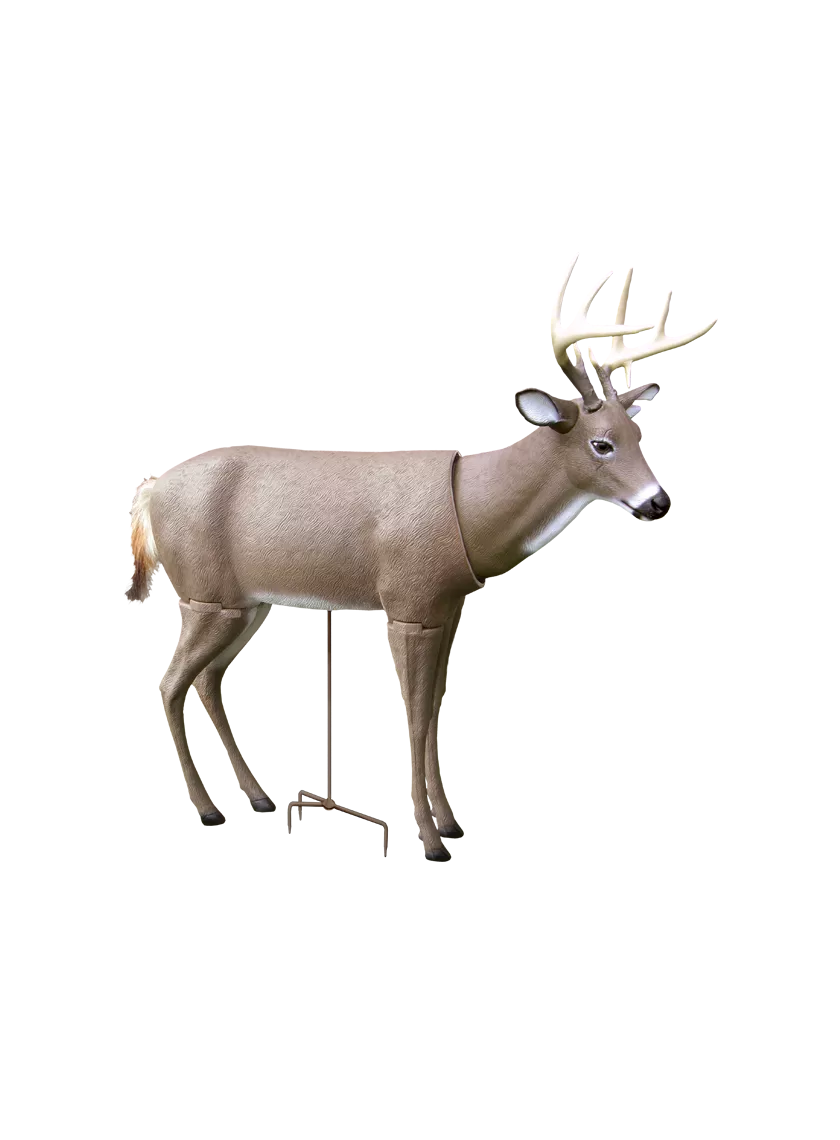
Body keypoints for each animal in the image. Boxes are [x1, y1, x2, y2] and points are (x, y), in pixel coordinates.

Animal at [124, 341, 670, 860]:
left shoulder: (444, 611)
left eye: (640, 437)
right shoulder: (407, 605)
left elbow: (433, 713)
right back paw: (209, 809)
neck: (469, 511)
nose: (659, 502)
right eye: (602, 444)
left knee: (206, 681)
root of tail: (148, 493)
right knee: (170, 682)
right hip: (204, 596)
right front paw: (429, 841)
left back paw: (257, 798)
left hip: (245, 606)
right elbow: (413, 720)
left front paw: (451, 825)